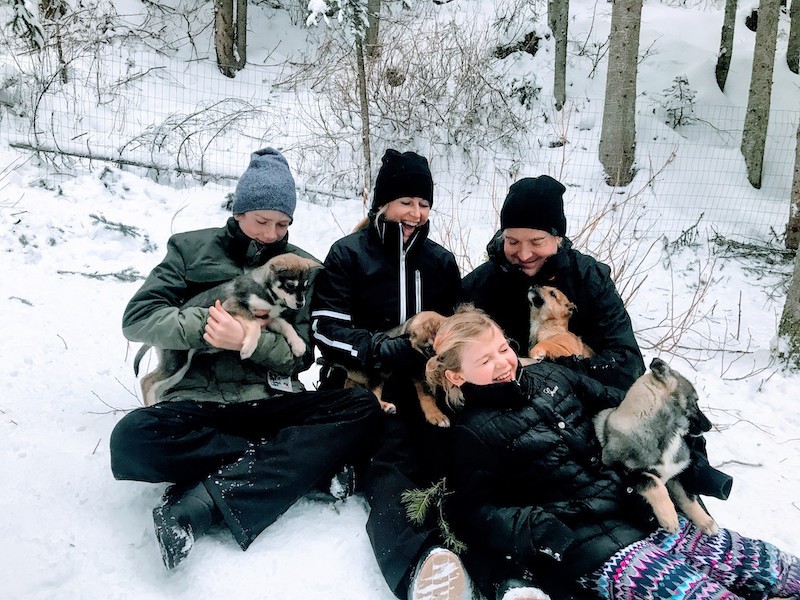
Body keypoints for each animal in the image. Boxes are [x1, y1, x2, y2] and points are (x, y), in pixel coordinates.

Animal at [134, 251, 318, 406]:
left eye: (305, 287)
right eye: (290, 286)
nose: (301, 304)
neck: (267, 292)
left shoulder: (269, 318)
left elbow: (287, 325)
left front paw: (298, 345)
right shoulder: (234, 305)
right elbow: (254, 326)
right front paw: (248, 348)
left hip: (180, 368)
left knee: (156, 386)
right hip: (175, 362)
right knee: (146, 382)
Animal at [592, 356, 720, 536]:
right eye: (695, 402)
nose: (709, 426)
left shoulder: (675, 475)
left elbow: (688, 497)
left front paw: (705, 521)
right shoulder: (626, 470)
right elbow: (655, 483)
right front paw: (670, 517)